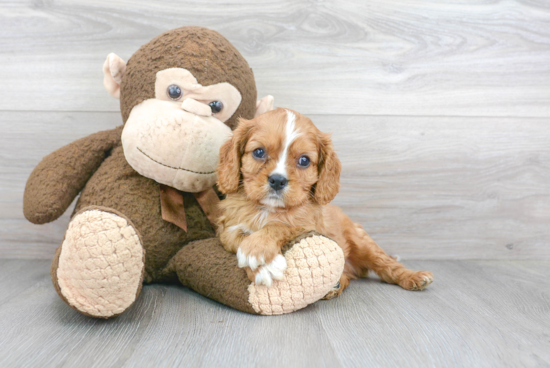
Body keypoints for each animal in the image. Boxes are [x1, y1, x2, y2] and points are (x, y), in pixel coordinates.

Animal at [217, 108, 436, 298]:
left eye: (304, 160)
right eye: (259, 152)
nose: (278, 180)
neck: (267, 209)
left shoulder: (309, 225)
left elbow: (281, 225)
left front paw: (258, 249)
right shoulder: (227, 227)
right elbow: (236, 236)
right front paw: (264, 266)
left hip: (362, 242)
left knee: (386, 265)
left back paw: (414, 277)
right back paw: (335, 285)